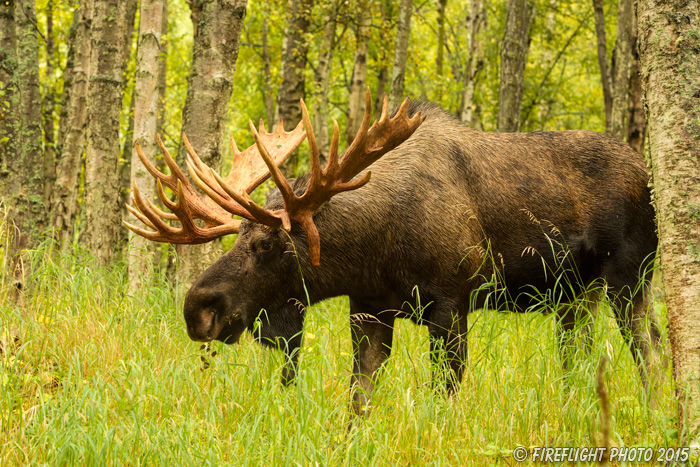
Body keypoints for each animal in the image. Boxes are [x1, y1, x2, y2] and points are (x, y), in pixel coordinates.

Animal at [126, 89, 668, 414]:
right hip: (575, 296)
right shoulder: (368, 312)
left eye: (264, 244)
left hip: (629, 279)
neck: (375, 252)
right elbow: (357, 401)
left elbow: (443, 397)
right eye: (236, 236)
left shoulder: (451, 304)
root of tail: (648, 173)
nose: (197, 309)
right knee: (581, 358)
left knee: (651, 351)